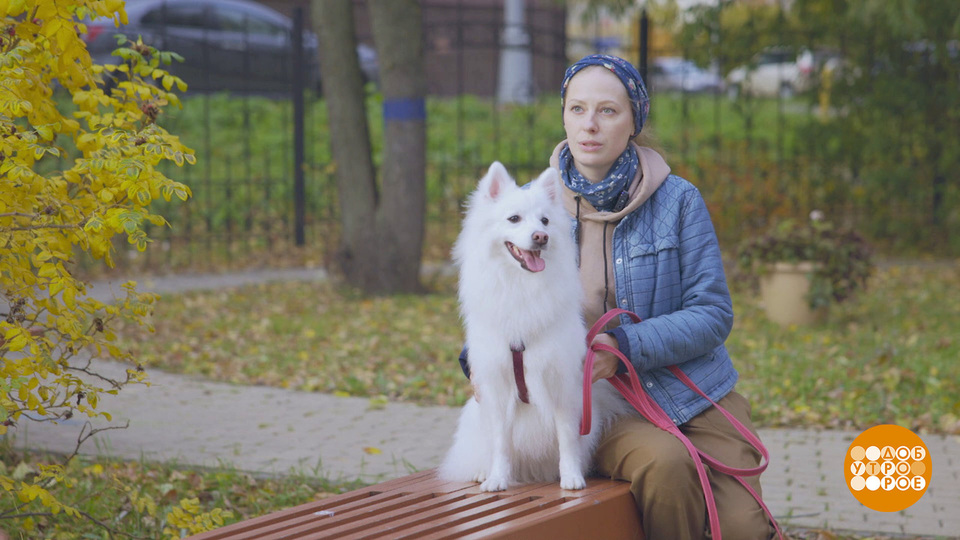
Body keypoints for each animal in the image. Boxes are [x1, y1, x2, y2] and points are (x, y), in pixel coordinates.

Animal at [436, 161, 632, 494]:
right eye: (514, 218)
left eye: (545, 220)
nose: (541, 236)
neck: (522, 286)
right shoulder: (497, 386)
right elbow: (501, 442)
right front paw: (498, 478)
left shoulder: (562, 384)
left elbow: (567, 436)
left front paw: (571, 476)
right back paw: (481, 471)